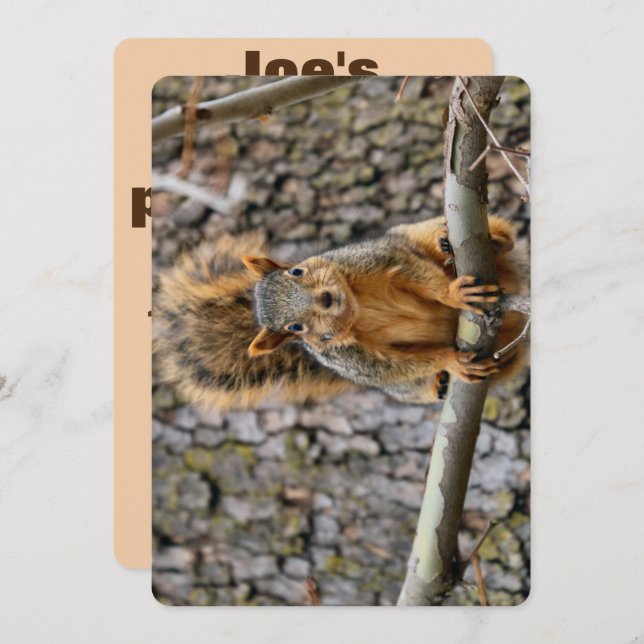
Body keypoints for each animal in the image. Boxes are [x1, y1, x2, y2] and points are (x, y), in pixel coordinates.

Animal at [154, 216, 528, 410]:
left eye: (297, 272)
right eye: (294, 327)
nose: (325, 298)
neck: (357, 306)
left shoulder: (374, 257)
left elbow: (412, 267)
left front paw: (452, 293)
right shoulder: (348, 356)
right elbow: (391, 366)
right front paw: (450, 362)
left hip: (418, 231)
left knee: (498, 240)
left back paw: (459, 245)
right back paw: (443, 382)